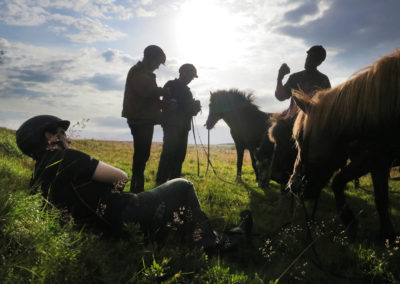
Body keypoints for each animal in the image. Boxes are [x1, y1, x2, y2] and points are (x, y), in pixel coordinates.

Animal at [288, 49, 400, 240]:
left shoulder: (376, 157)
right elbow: (377, 197)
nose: (293, 186)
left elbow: (343, 184)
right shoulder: (375, 159)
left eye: (301, 138)